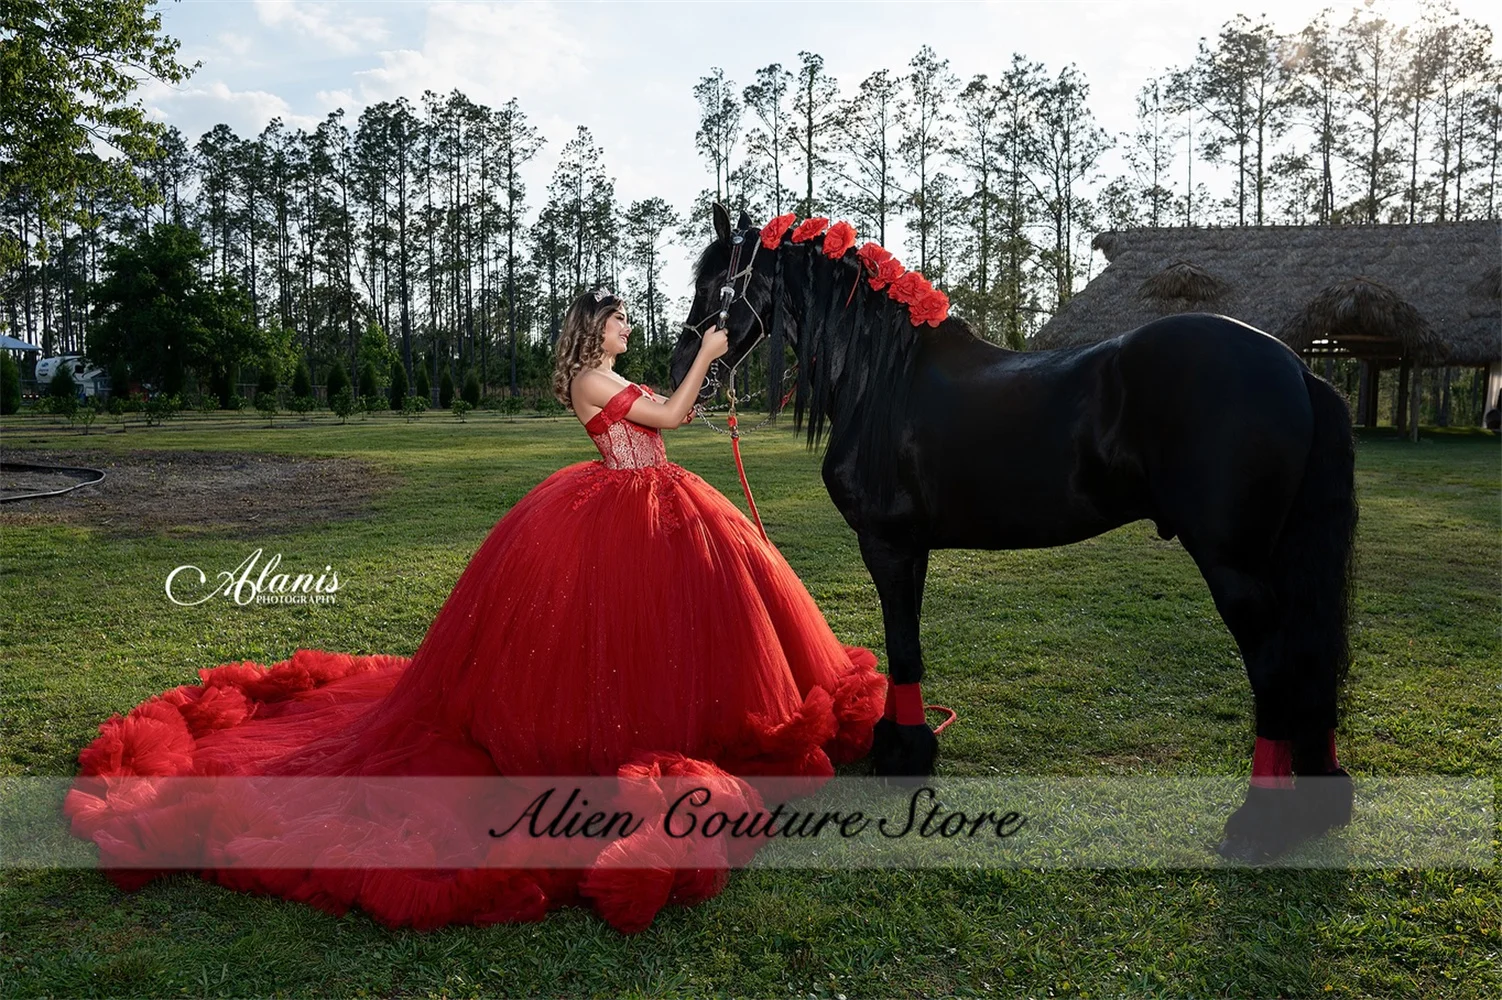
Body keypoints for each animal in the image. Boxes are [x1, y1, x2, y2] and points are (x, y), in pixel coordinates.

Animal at [678, 204, 1363, 858]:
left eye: (713, 285)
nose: (685, 367)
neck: (883, 379)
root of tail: (1298, 368)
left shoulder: (889, 545)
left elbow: (903, 647)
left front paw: (906, 752)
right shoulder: (910, 548)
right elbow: (905, 646)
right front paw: (902, 743)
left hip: (1235, 567)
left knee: (1276, 665)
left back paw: (1259, 823)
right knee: (1311, 655)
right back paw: (1319, 803)